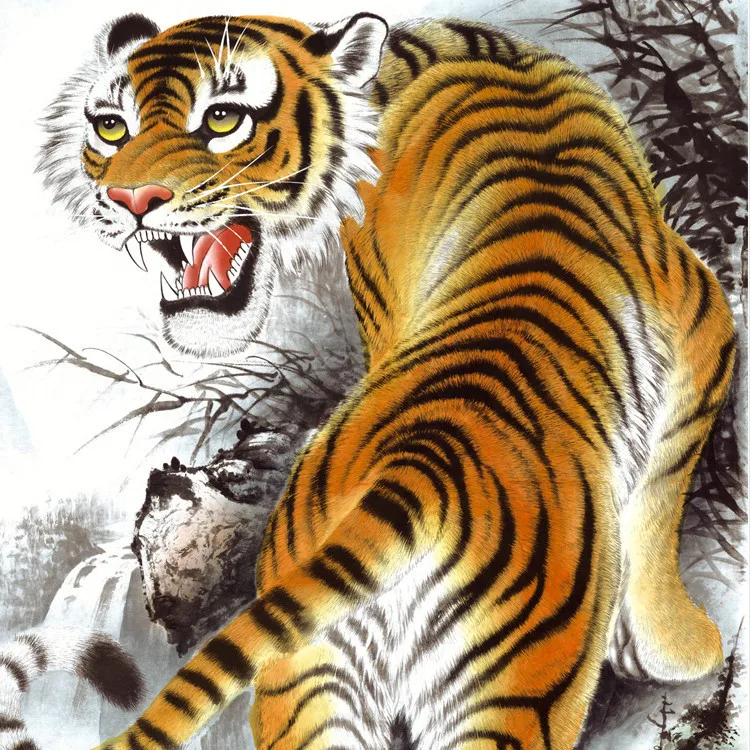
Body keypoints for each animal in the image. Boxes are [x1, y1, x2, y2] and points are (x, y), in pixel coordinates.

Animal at [32, 10, 735, 750]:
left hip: (306, 678)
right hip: (511, 697)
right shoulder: (705, 328)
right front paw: (682, 646)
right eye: (114, 126)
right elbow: (662, 495)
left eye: (222, 118)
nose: (129, 198)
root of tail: (416, 472)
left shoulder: (704, 323)